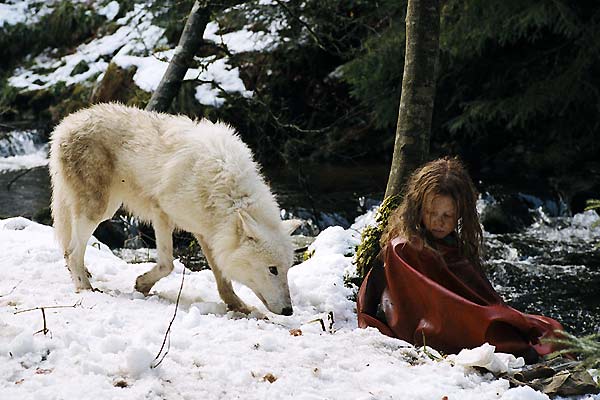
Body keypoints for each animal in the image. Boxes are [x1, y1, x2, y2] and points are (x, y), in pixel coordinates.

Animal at [49, 103, 300, 316]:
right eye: (272, 269)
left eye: (288, 269)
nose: (289, 311)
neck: (225, 193)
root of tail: (66, 124)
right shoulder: (162, 213)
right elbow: (167, 264)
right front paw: (142, 284)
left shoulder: (207, 232)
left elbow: (222, 279)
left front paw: (238, 306)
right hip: (100, 210)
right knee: (72, 251)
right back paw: (85, 287)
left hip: (103, 208)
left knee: (69, 248)